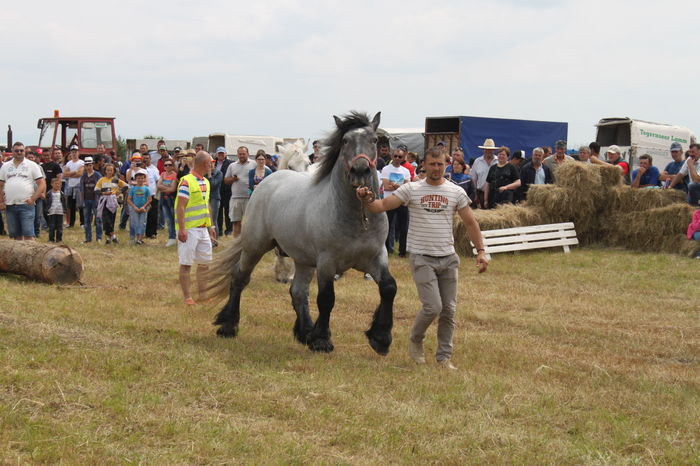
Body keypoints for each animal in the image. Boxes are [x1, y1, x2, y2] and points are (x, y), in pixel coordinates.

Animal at [208, 112, 394, 354]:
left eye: (374, 140)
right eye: (345, 141)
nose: (360, 171)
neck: (358, 217)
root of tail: (270, 179)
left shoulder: (376, 256)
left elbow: (389, 287)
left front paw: (380, 338)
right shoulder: (327, 262)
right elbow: (326, 298)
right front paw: (322, 340)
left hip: (303, 259)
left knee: (298, 292)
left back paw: (305, 332)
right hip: (255, 246)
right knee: (240, 277)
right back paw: (228, 326)